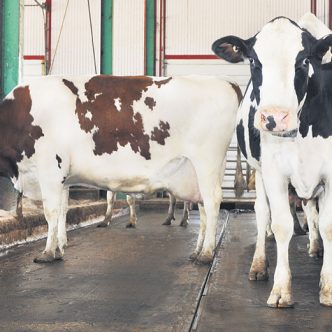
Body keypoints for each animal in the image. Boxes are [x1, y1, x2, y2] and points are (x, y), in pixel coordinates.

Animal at [0, 74, 241, 264]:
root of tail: (225, 82)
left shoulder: (50, 168)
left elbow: (50, 212)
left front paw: (48, 252)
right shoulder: (62, 178)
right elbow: (62, 210)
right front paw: (60, 247)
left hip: (206, 162)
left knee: (212, 202)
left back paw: (206, 254)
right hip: (200, 171)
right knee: (203, 207)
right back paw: (197, 251)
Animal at [213, 16, 332, 308]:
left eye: (304, 61)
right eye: (254, 62)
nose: (274, 118)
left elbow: (327, 225)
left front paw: (328, 288)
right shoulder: (275, 174)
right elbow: (280, 225)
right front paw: (281, 290)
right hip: (260, 172)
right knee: (262, 212)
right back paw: (258, 265)